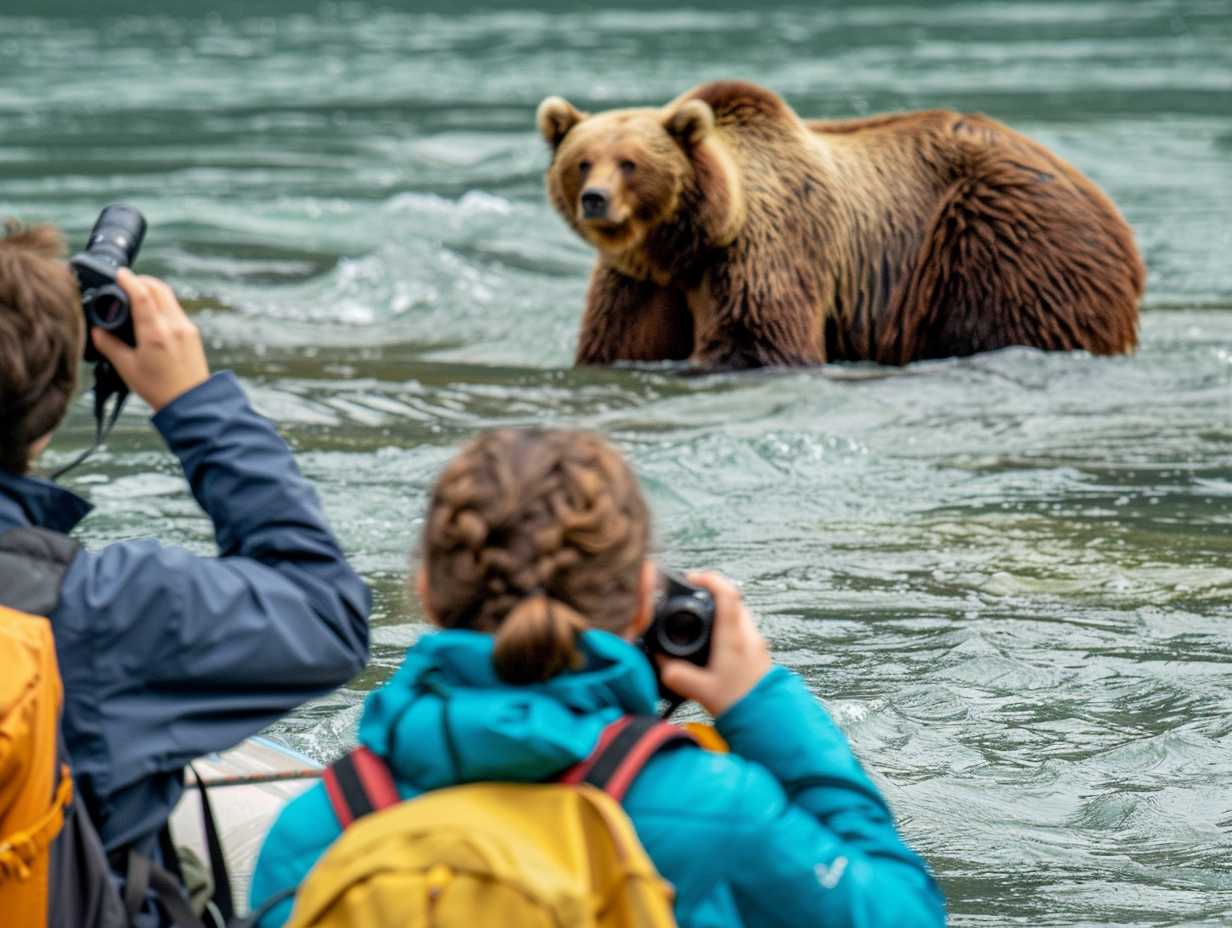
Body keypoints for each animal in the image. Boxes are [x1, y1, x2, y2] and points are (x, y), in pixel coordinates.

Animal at [539, 79, 1143, 369]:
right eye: (582, 161)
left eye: (630, 163)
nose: (595, 199)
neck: (694, 239)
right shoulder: (643, 280)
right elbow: (621, 343)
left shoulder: (770, 245)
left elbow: (759, 343)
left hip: (1000, 239)